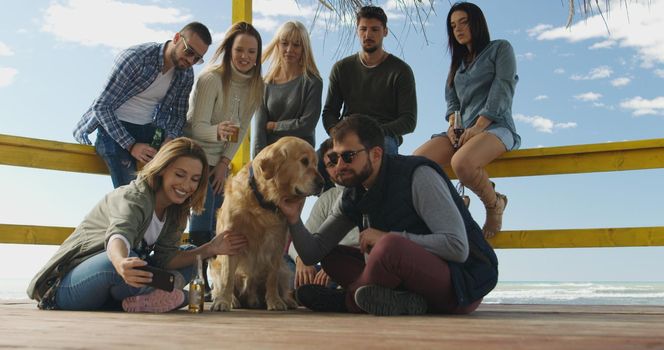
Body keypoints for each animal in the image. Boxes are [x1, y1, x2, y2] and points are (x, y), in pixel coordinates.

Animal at [210, 137, 324, 312]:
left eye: (316, 163)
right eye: (304, 161)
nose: (322, 183)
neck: (262, 200)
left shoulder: (277, 243)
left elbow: (272, 277)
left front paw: (275, 301)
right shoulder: (231, 239)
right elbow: (227, 277)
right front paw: (223, 301)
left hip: (285, 269)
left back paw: (287, 301)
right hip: (214, 266)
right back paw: (233, 300)